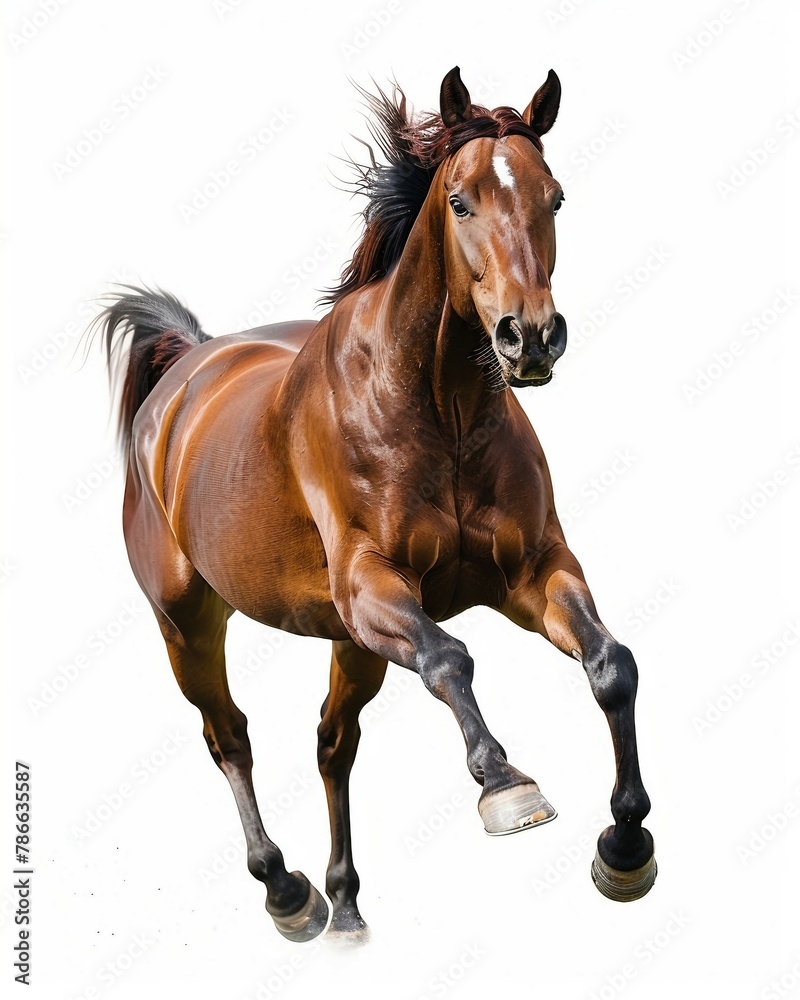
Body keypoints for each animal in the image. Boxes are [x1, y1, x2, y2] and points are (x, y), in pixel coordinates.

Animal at [96, 66, 656, 943]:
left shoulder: (532, 574)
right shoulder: (373, 587)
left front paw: (626, 844)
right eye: (460, 200)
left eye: (555, 197)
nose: (530, 338)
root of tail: (188, 367)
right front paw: (507, 785)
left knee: (333, 743)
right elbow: (451, 659)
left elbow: (611, 666)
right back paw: (287, 891)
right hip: (187, 621)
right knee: (229, 737)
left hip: (348, 642)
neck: (439, 412)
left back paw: (347, 902)